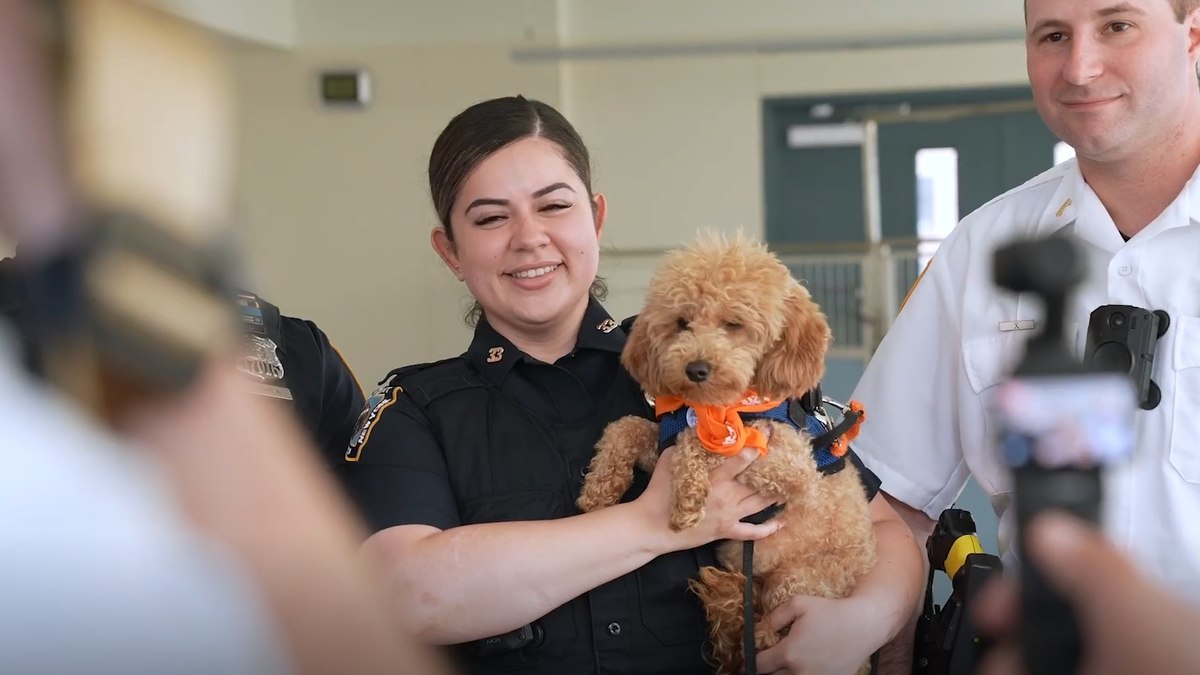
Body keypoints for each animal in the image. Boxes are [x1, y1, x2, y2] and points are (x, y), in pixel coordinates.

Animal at [576, 233, 878, 672]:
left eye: (735, 324)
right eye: (682, 323)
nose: (696, 369)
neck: (719, 404)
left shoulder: (791, 467)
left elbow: (707, 440)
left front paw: (686, 499)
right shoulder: (662, 438)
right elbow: (625, 428)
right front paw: (599, 489)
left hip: (799, 580)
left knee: (771, 633)